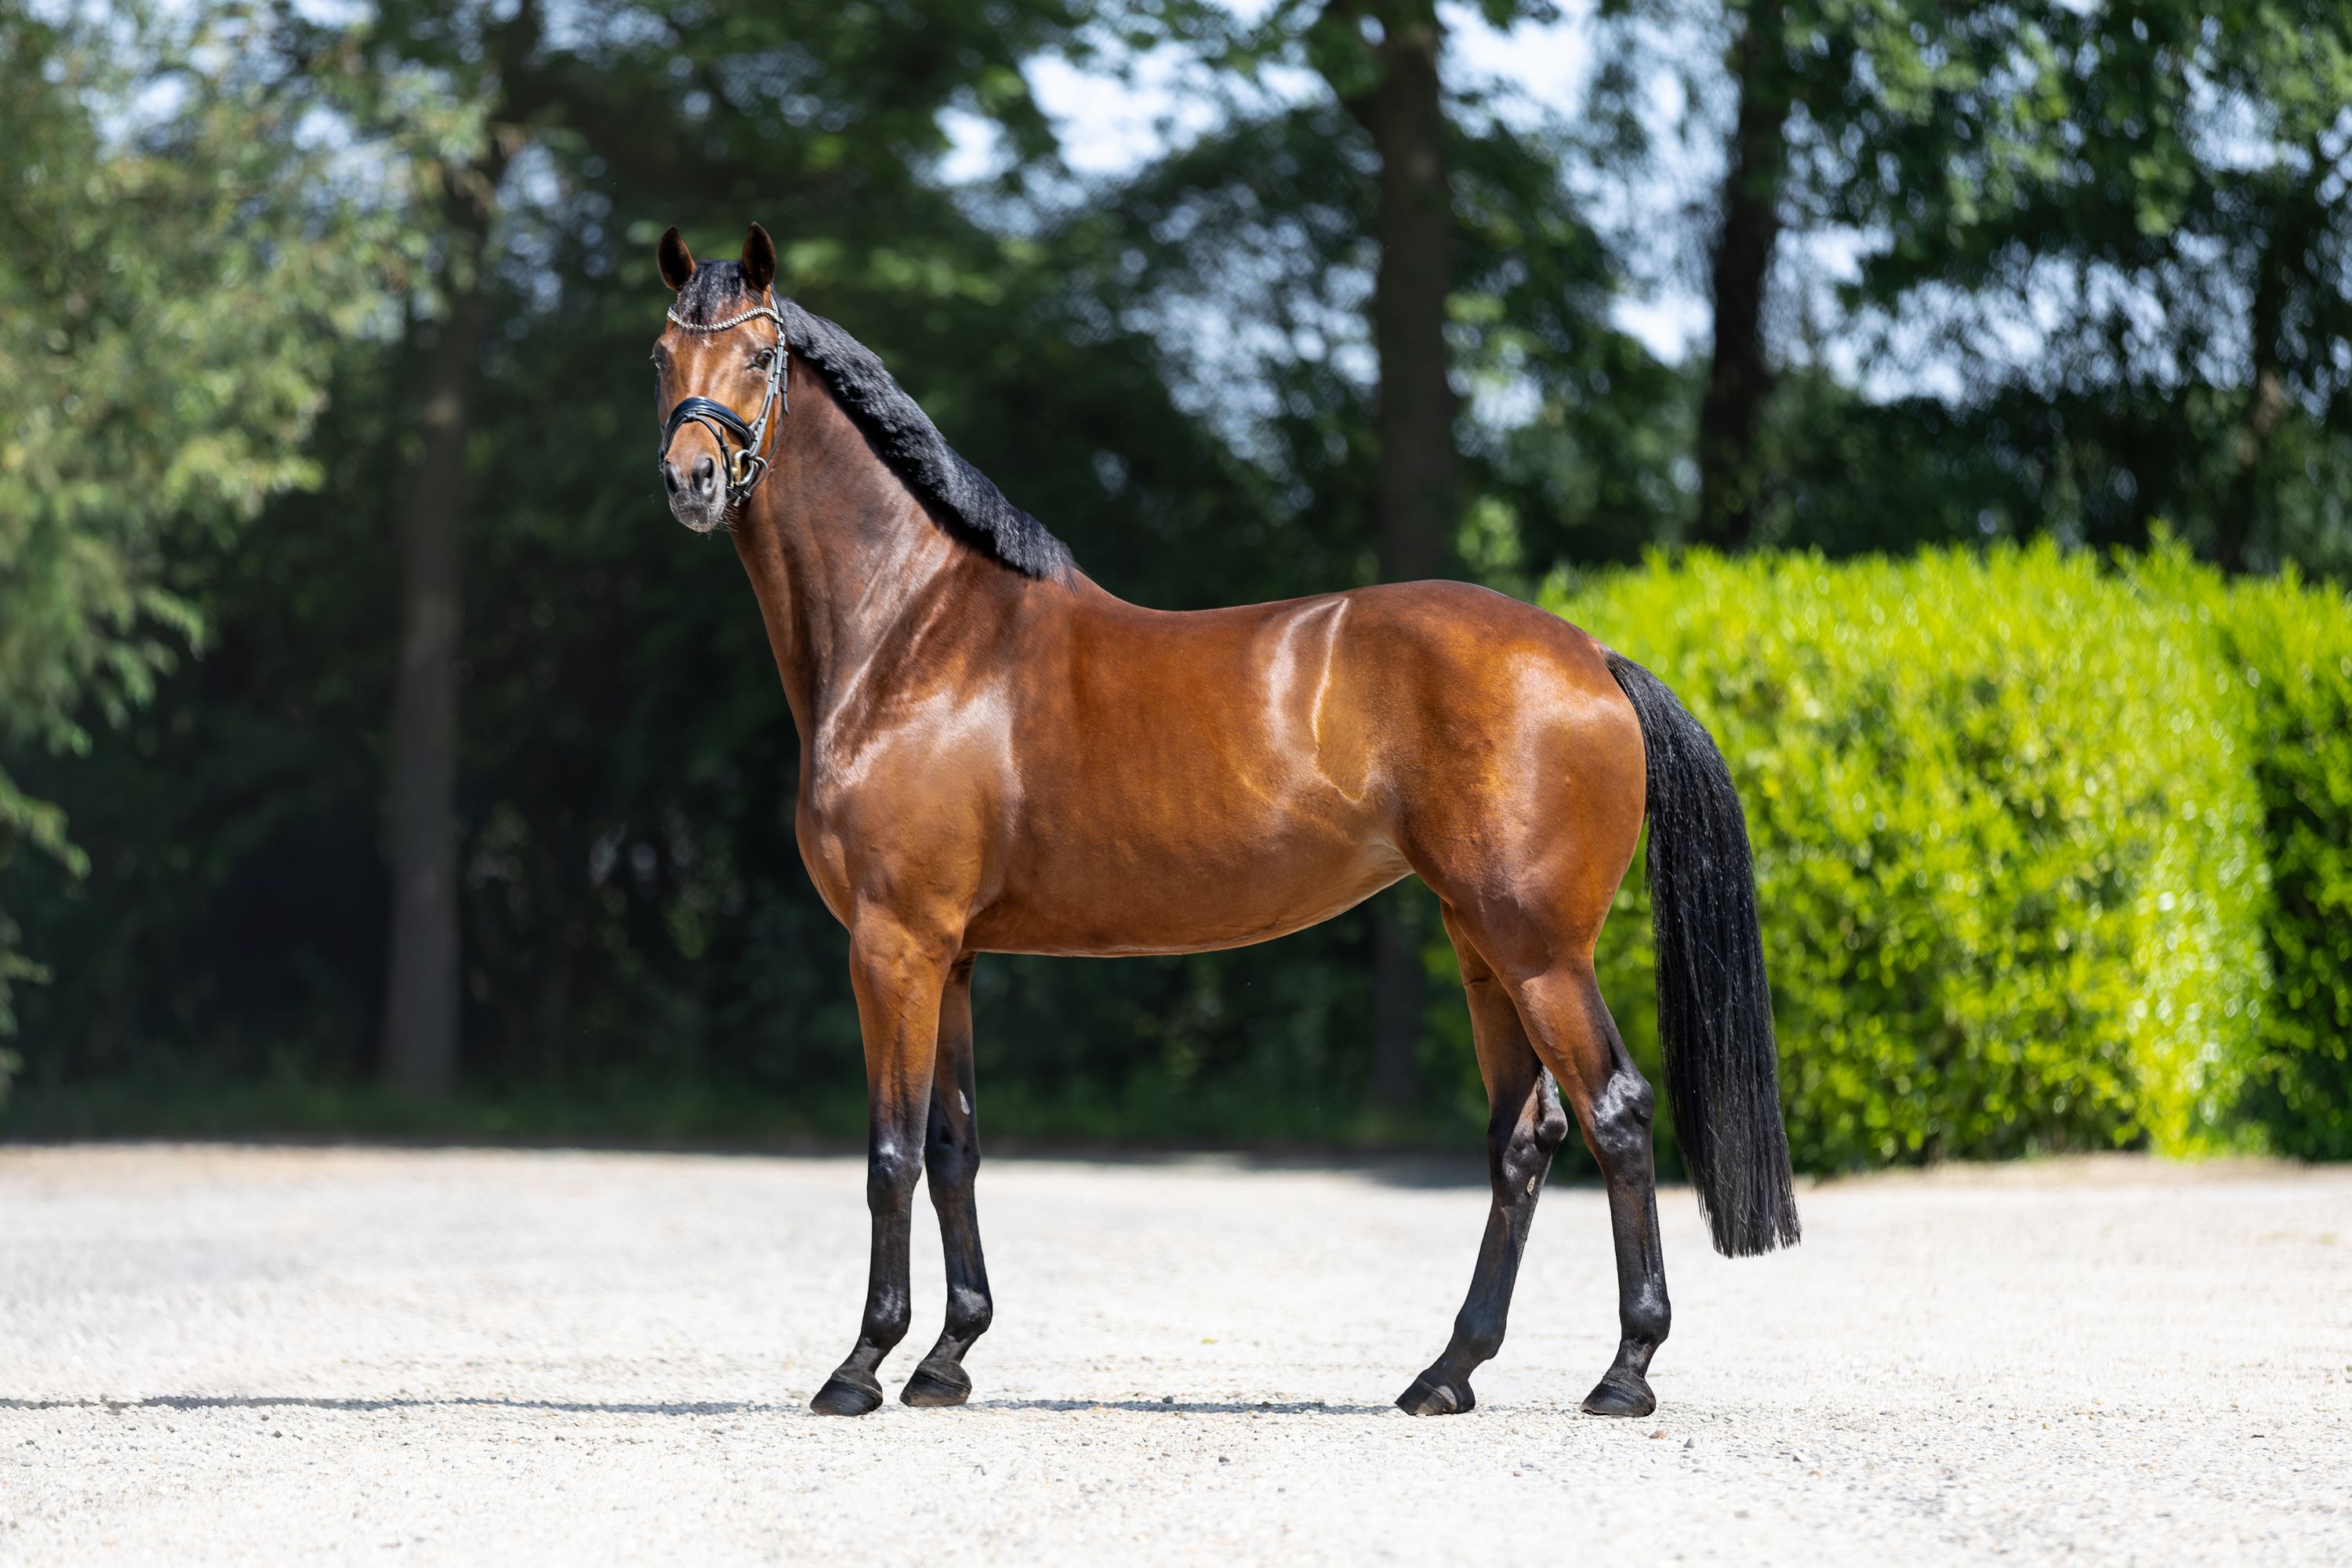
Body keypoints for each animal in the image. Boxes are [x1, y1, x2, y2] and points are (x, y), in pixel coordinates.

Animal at [649, 223, 1799, 1421]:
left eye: (760, 355)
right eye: (659, 356)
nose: (691, 479)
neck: (916, 637)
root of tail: (1594, 657)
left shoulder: (893, 943)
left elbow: (891, 1155)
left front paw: (862, 1365)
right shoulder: (950, 956)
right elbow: (956, 1147)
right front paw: (948, 1358)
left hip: (1541, 952)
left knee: (1616, 1113)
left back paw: (1625, 1371)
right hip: (1484, 948)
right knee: (1524, 1137)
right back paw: (1446, 1372)